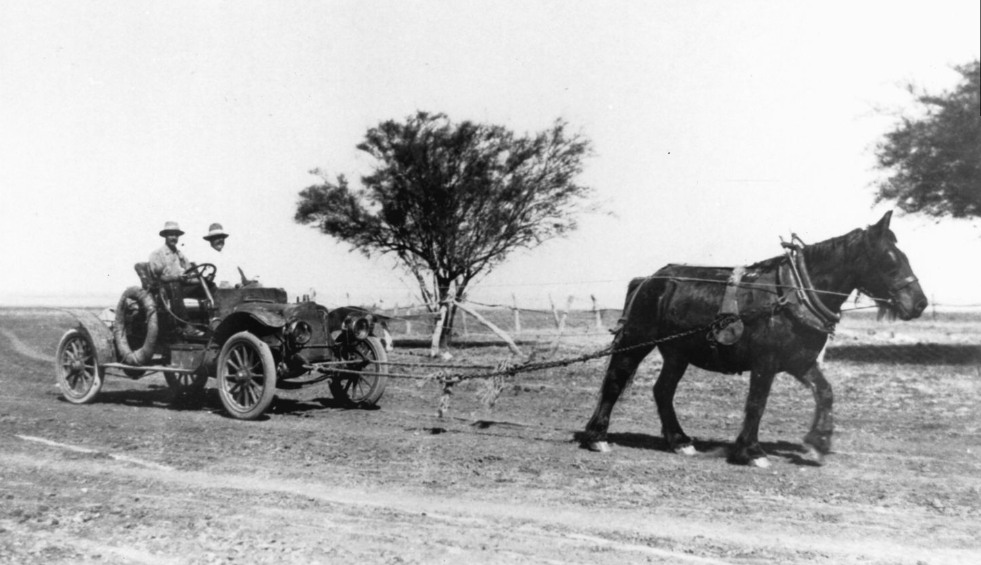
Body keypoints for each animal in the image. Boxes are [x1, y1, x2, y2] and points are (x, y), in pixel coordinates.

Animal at [580, 212, 928, 468]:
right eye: (890, 259)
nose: (920, 303)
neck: (793, 295)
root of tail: (649, 279)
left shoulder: (800, 362)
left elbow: (825, 393)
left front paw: (817, 443)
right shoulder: (766, 362)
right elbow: (757, 404)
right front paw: (751, 451)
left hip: (677, 353)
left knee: (663, 390)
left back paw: (680, 441)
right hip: (637, 341)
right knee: (615, 380)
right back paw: (597, 437)